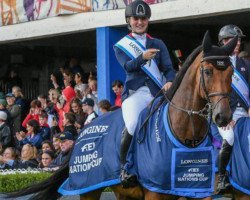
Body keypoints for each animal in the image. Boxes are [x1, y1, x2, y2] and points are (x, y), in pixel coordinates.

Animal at [7, 31, 238, 200]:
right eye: (207, 72)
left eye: (231, 73)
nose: (223, 117)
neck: (184, 131)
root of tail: (83, 131)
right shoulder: (155, 193)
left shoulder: (196, 190)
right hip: (89, 189)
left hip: (123, 192)